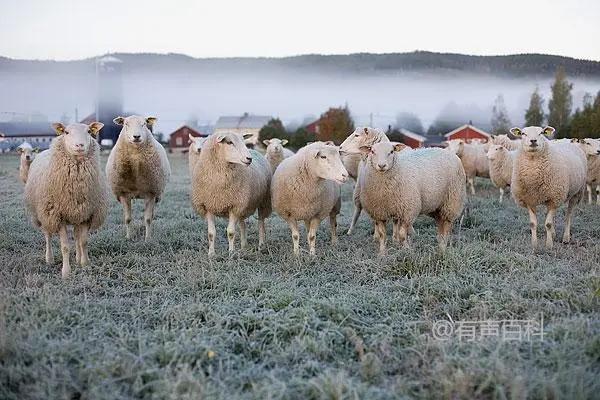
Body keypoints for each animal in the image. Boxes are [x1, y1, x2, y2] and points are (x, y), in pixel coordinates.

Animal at [24, 122, 109, 278]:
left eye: (89, 131)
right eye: (66, 132)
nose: (79, 145)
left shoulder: (86, 213)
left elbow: (83, 241)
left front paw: (84, 264)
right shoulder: (58, 216)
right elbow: (64, 246)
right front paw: (66, 272)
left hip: (76, 214)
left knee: (76, 236)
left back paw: (78, 258)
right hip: (44, 214)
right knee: (47, 236)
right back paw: (49, 258)